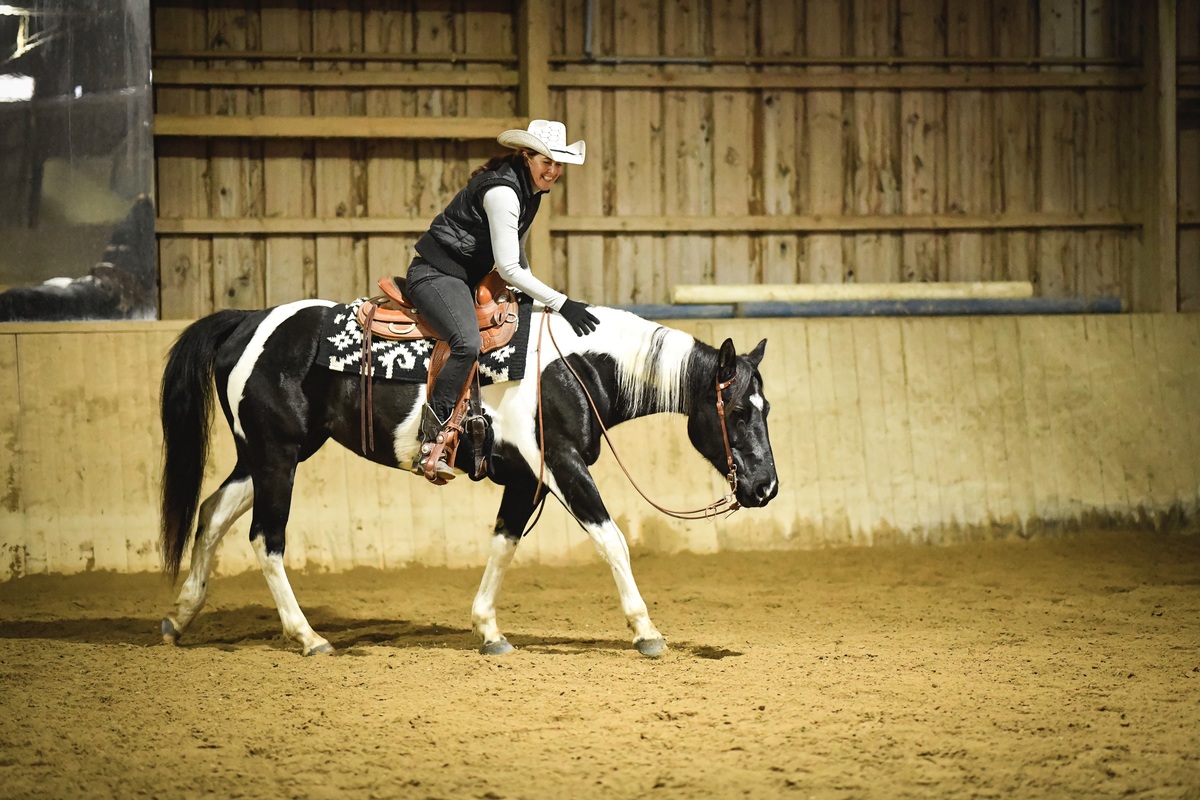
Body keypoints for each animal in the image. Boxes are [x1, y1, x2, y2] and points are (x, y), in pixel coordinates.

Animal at [157, 292, 777, 657]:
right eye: (739, 411)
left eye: (765, 408)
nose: (766, 487)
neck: (573, 366)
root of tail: (248, 321)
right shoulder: (562, 466)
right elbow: (612, 541)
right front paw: (646, 631)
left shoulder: (526, 480)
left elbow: (503, 545)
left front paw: (489, 630)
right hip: (278, 457)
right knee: (267, 539)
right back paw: (308, 637)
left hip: (265, 456)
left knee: (212, 513)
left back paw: (179, 618)